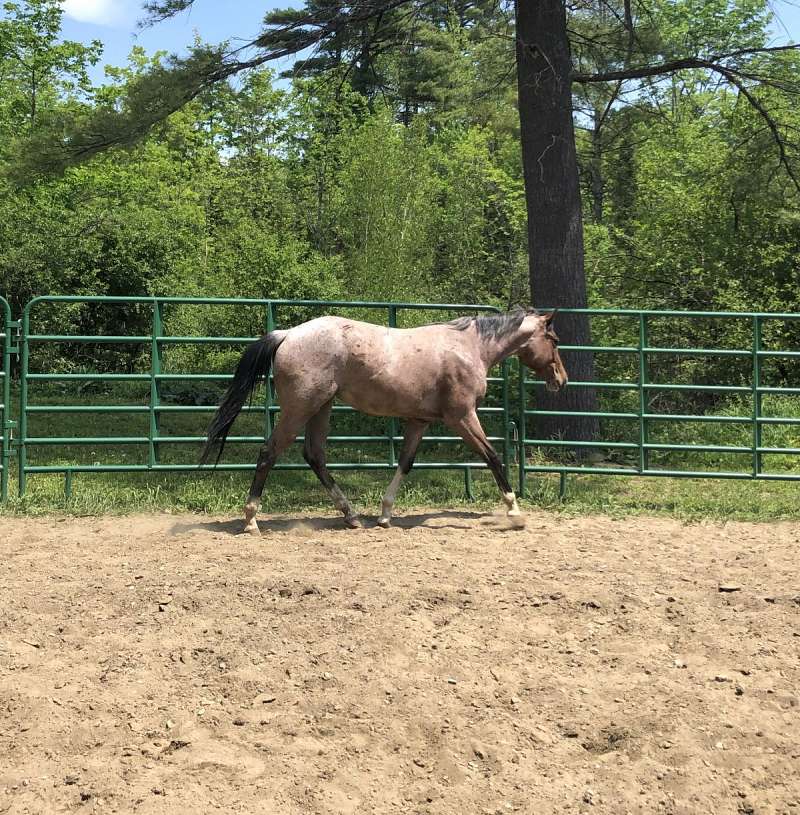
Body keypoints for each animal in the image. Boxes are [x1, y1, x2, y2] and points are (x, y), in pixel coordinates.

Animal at [201, 308, 568, 533]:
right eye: (554, 340)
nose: (561, 380)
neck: (470, 348)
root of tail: (288, 334)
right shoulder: (462, 417)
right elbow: (492, 457)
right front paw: (515, 513)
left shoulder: (419, 421)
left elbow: (405, 463)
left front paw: (385, 515)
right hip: (300, 408)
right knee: (269, 453)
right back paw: (251, 520)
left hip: (321, 407)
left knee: (314, 455)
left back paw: (351, 516)